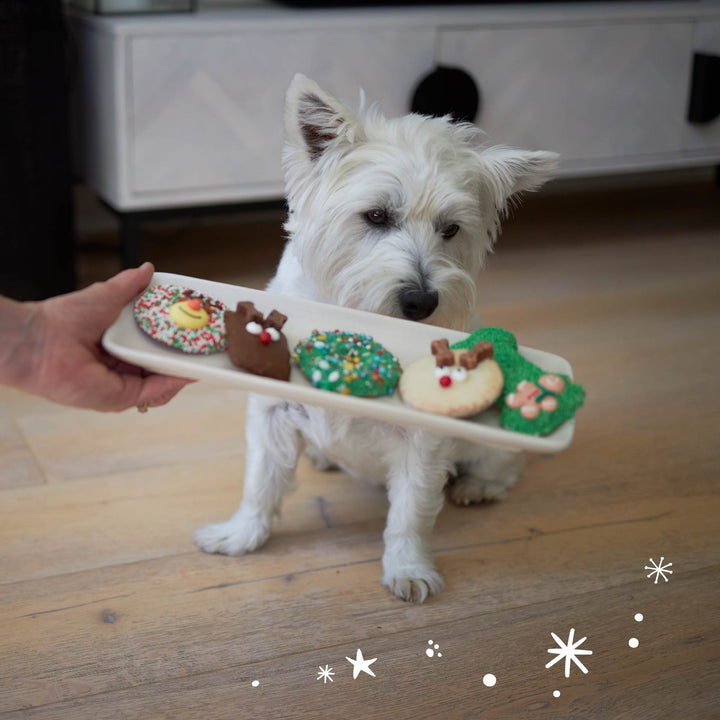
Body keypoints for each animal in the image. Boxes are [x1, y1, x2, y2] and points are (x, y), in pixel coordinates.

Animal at [195, 74, 556, 600]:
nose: (422, 302)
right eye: (377, 216)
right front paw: (239, 536)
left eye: (451, 229)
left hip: (488, 446)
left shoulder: (424, 439)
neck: (360, 320)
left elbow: (412, 510)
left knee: (505, 466)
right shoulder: (272, 411)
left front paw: (409, 570)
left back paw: (475, 488)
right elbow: (260, 481)